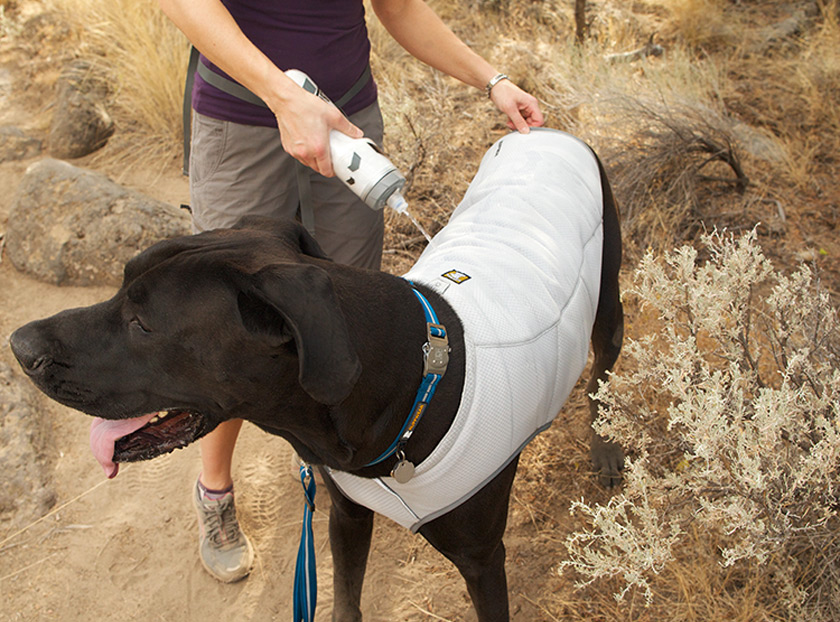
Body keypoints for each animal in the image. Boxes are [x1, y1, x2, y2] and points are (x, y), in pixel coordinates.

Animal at [8, 129, 624, 620]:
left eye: (141, 323)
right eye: (120, 282)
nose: (18, 346)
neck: (413, 393)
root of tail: (538, 130)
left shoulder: (481, 560)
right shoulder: (346, 516)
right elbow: (346, 597)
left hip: (608, 296)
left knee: (603, 375)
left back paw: (607, 450)